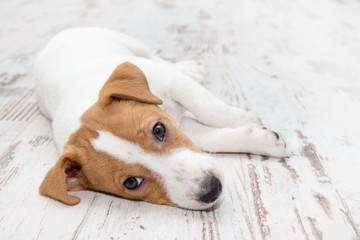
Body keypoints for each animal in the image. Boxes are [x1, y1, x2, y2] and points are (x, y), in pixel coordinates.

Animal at [35, 26, 288, 210]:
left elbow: (208, 108)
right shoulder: (184, 125)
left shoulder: (175, 83)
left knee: (158, 59)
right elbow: (214, 138)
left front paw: (243, 118)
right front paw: (260, 139)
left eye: (159, 130)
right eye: (131, 183)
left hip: (134, 46)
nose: (212, 189)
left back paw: (188, 68)